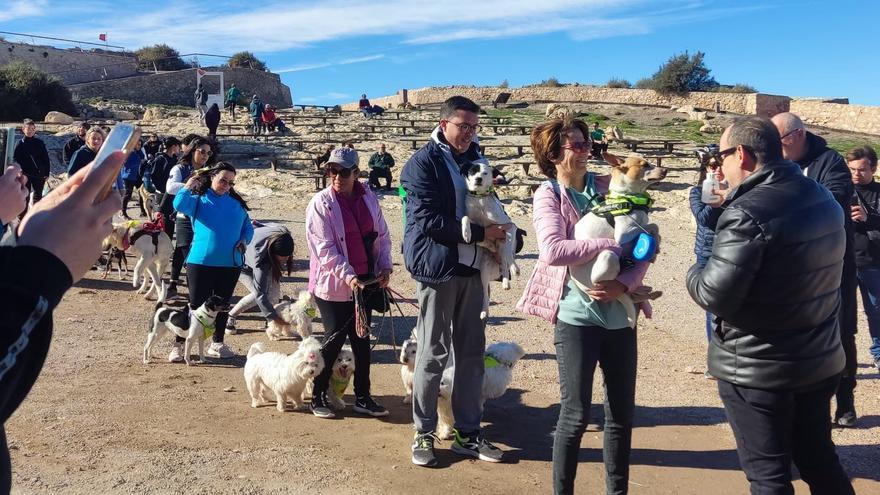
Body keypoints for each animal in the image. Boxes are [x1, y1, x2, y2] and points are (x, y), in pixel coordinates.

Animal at [460, 161, 524, 320]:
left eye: (485, 173)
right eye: (472, 171)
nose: (478, 179)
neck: (480, 199)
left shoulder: (510, 226)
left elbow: (508, 253)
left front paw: (514, 268)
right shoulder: (474, 220)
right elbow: (465, 218)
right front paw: (466, 233)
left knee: (507, 259)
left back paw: (509, 277)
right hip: (483, 271)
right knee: (485, 293)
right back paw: (484, 311)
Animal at [568, 153, 664, 328]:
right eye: (645, 165)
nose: (665, 170)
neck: (627, 197)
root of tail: (584, 288)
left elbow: (653, 226)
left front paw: (656, 246)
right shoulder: (623, 233)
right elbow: (651, 226)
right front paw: (654, 244)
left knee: (632, 294)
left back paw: (648, 291)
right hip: (608, 257)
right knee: (623, 290)